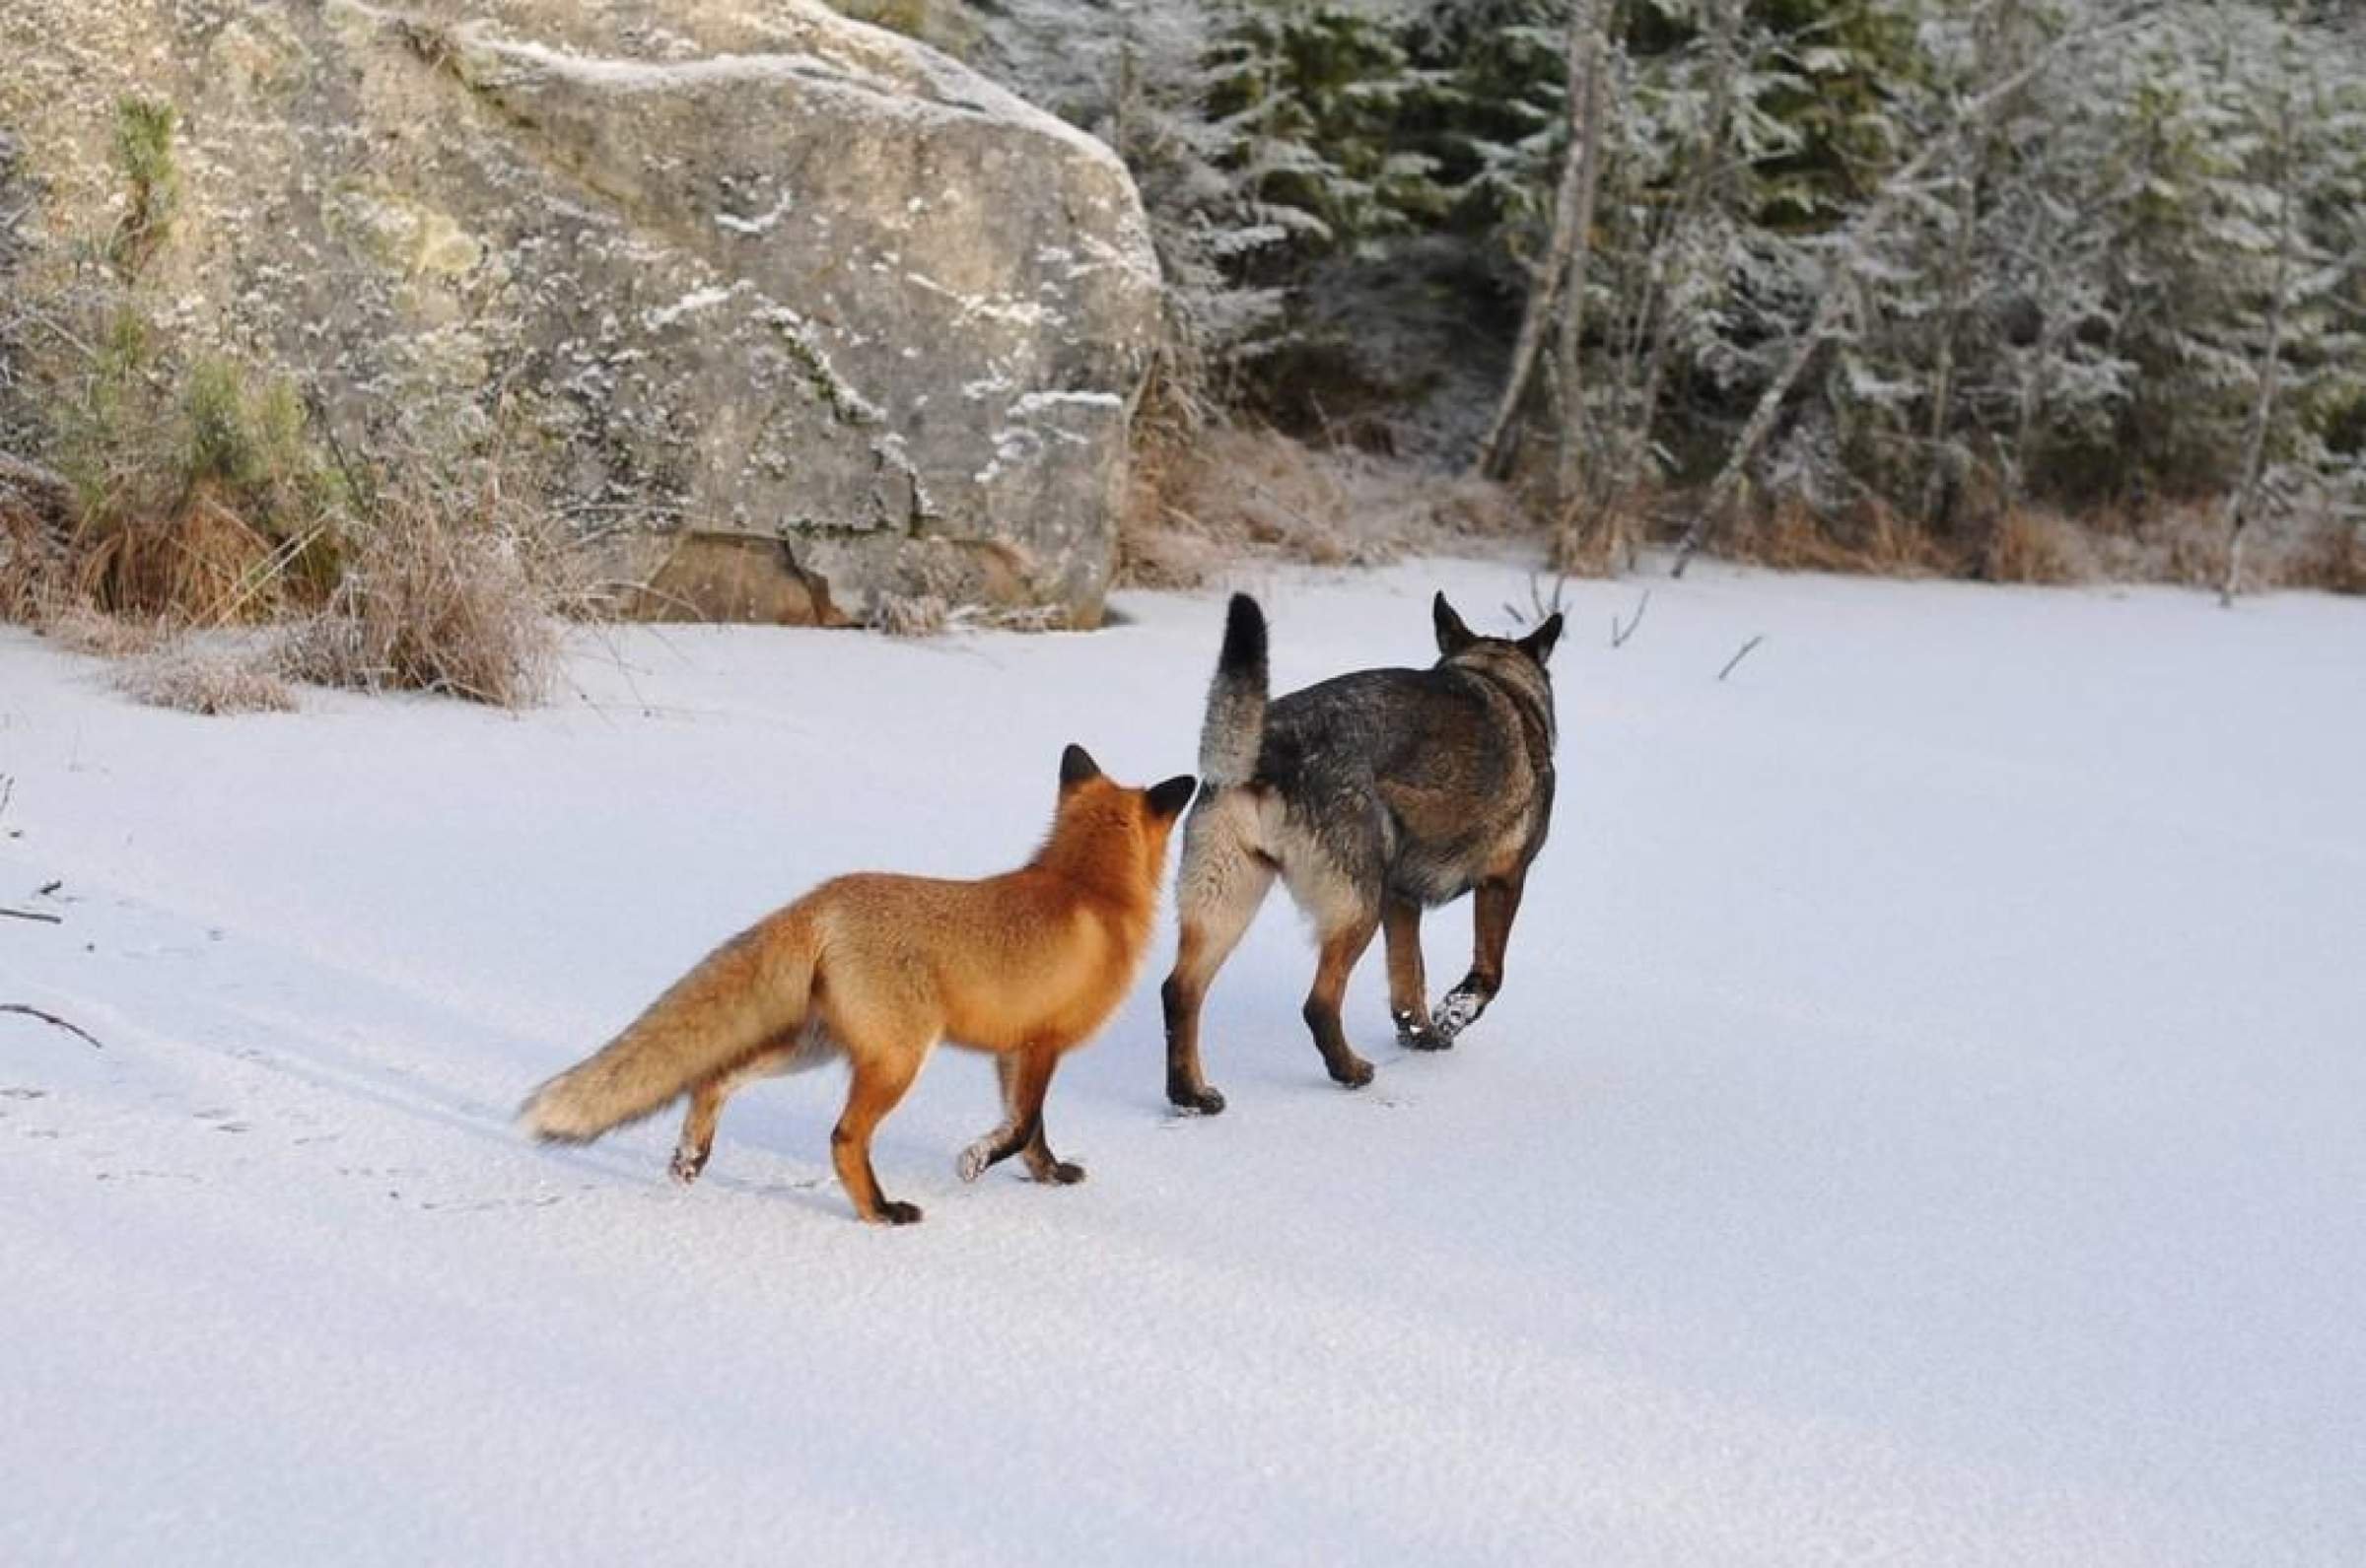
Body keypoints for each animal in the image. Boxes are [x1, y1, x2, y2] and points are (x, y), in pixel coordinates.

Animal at [536, 747, 1202, 1229]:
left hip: (813, 1047)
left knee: (715, 1078)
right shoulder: (1043, 1044)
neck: (1086, 887)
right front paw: (975, 1161)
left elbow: (1030, 1131)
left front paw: (1049, 1175)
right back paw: (880, 1211)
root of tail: (822, 899)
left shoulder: (1013, 1051)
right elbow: (1018, 1128)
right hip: (898, 1059)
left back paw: (689, 1160)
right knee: (843, 1137)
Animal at [1159, 590, 1562, 1116]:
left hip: (1226, 901)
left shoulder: (1401, 900)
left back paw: (1190, 1094)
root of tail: (1266, 751)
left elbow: (1409, 980)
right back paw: (1349, 1071)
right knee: (1319, 1003)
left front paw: (1422, 1034)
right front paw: (1452, 1015)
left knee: (1179, 992)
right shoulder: (1505, 880)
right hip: (1356, 908)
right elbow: (1488, 975)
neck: (1498, 678)